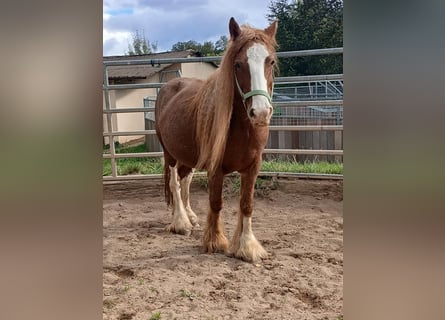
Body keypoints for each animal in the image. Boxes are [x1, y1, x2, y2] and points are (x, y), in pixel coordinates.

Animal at [154, 17, 276, 262]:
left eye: (271, 62)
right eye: (238, 64)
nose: (260, 113)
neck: (242, 130)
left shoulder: (253, 166)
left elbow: (246, 204)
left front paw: (247, 247)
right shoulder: (216, 168)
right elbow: (216, 203)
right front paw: (215, 241)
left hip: (187, 157)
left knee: (184, 181)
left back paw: (190, 216)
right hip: (169, 154)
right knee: (174, 183)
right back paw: (180, 222)